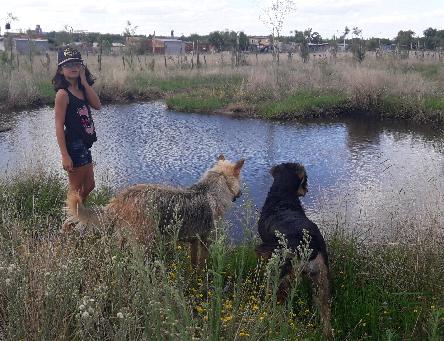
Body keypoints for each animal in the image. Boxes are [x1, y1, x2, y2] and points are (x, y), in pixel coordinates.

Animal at [67, 154, 245, 266]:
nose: (241, 194)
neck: (213, 189)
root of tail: (121, 198)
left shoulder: (194, 242)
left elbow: (194, 265)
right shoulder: (206, 242)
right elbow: (202, 266)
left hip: (124, 239)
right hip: (144, 242)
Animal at [255, 162, 332, 338]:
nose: (307, 190)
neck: (282, 198)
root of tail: (311, 245)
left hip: (283, 277)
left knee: (279, 303)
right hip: (321, 279)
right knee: (325, 311)